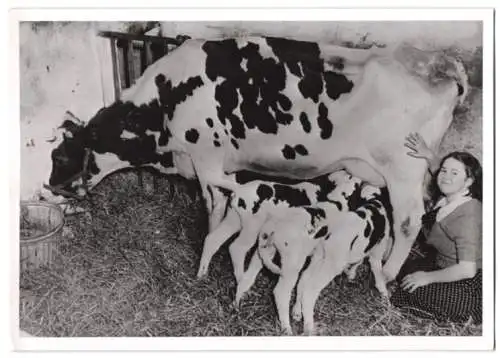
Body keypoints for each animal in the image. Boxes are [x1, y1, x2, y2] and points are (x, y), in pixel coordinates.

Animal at [36, 37, 468, 282]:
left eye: (61, 154)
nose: (49, 187)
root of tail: (437, 62)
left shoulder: (206, 158)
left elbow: (214, 201)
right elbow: (217, 202)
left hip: (403, 167)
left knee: (409, 219)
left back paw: (391, 273)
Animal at [258, 185, 394, 336]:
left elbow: (358, 260)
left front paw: (351, 273)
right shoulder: (377, 251)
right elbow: (378, 273)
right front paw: (385, 298)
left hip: (292, 256)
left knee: (302, 280)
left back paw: (297, 314)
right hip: (305, 263)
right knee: (291, 291)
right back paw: (294, 328)